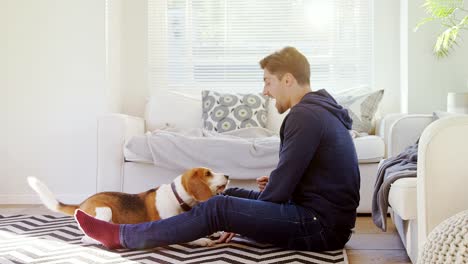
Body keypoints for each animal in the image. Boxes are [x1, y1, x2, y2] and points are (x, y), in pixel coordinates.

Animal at [27, 168, 229, 246]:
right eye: (208, 173)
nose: (227, 175)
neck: (176, 196)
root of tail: (83, 202)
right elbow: (190, 236)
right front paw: (203, 240)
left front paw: (218, 232)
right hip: (104, 210)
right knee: (86, 237)